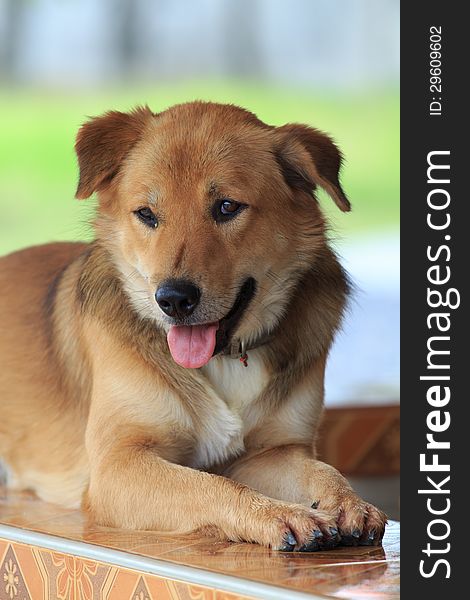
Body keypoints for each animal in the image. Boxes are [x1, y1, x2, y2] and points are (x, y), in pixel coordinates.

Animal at [0, 101, 386, 552]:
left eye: (227, 207)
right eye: (147, 214)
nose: (173, 300)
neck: (225, 359)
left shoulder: (273, 452)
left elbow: (322, 471)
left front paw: (349, 501)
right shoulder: (118, 464)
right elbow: (210, 487)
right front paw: (277, 514)